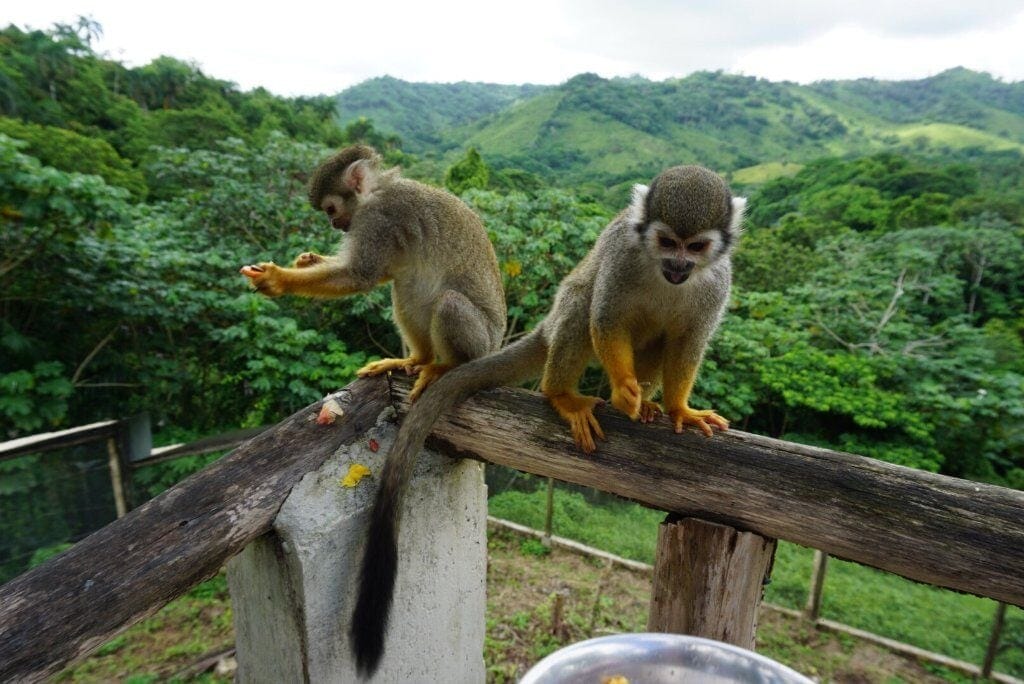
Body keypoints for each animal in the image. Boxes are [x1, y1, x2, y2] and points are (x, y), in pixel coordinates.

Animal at [240, 145, 506, 401]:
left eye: (330, 209)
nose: (333, 224)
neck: (373, 193)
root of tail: (496, 345)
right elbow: (386, 271)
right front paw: (310, 260)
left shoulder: (377, 220)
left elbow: (360, 276)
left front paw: (278, 279)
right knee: (405, 285)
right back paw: (419, 359)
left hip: (481, 343)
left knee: (449, 303)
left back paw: (448, 366)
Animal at [350, 164, 744, 676]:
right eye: (666, 241)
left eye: (695, 247)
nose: (678, 267)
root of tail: (546, 323)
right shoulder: (624, 255)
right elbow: (605, 316)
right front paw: (623, 389)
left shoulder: (716, 281)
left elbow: (690, 341)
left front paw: (679, 409)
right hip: (562, 316)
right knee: (580, 301)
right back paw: (561, 394)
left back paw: (649, 404)